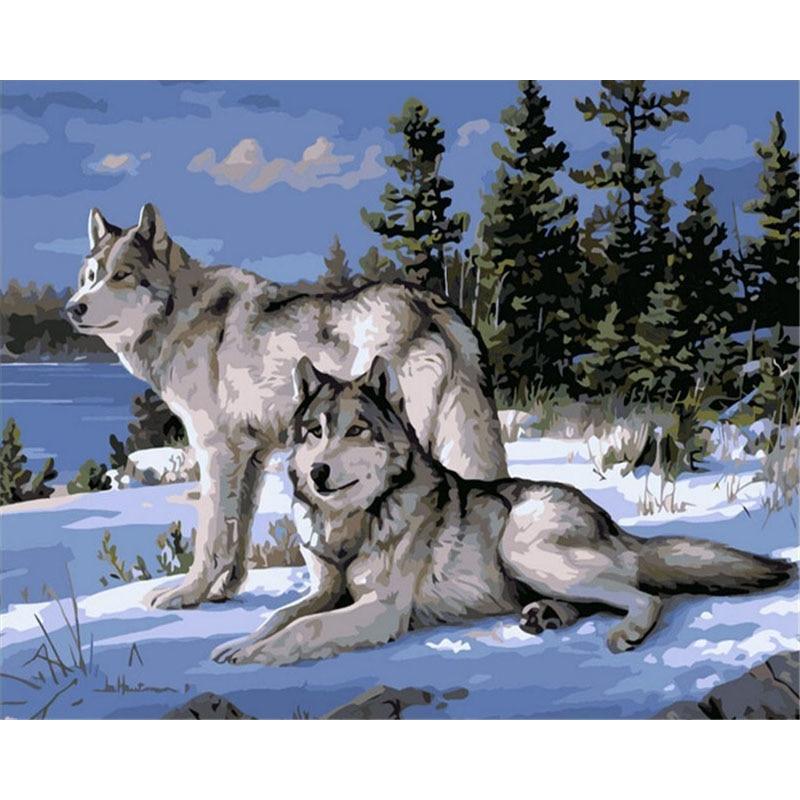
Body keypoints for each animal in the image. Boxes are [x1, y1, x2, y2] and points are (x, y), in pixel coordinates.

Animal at [66, 203, 507, 609]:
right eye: (89, 277)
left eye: (120, 275)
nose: (74, 308)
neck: (181, 316)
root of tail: (431, 304)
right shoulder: (252, 457)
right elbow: (239, 534)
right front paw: (224, 592)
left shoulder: (216, 453)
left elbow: (211, 537)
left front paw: (186, 595)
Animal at [210, 357, 796, 665]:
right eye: (314, 432)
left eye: (356, 430)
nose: (318, 473)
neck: (352, 524)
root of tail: (612, 523)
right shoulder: (325, 590)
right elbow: (280, 616)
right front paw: (237, 643)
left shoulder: (380, 610)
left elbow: (305, 629)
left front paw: (253, 654)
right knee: (601, 598)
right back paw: (547, 616)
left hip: (522, 547)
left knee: (645, 597)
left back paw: (624, 633)